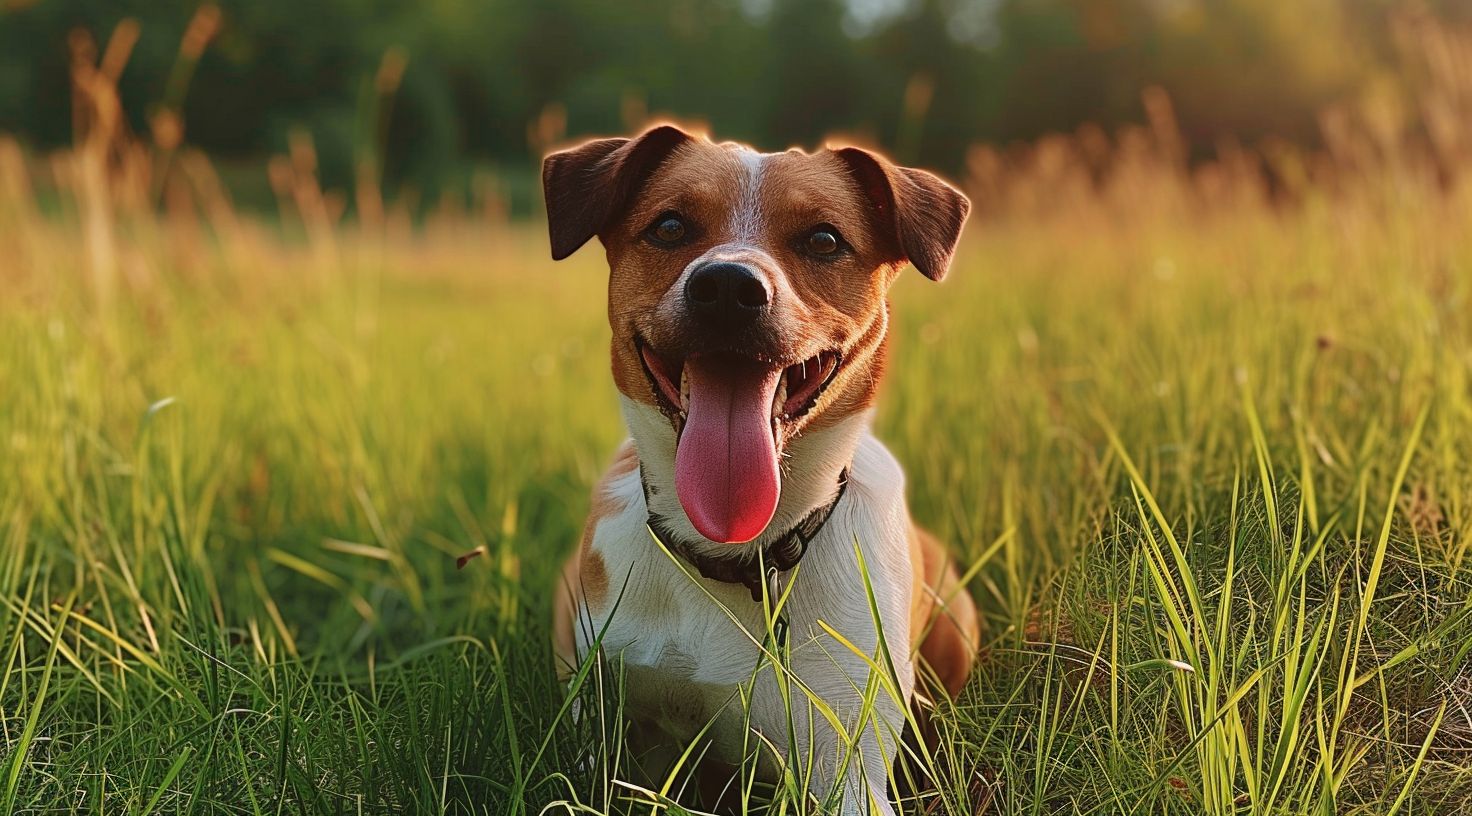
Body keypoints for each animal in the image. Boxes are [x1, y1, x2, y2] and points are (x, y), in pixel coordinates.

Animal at [544, 123, 977, 807]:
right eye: (670, 226)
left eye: (824, 239)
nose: (726, 287)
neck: (732, 549)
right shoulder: (600, 718)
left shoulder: (844, 759)